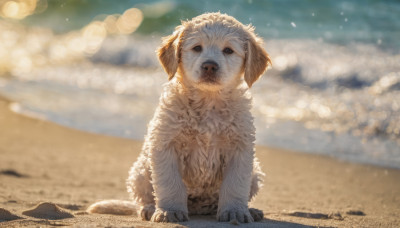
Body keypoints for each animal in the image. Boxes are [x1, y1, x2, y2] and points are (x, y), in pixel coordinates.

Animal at [87, 11, 272, 224]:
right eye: (197, 48)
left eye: (228, 50)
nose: (209, 66)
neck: (208, 101)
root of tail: (198, 208)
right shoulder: (166, 145)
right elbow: (170, 183)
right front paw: (170, 211)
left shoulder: (240, 148)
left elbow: (235, 184)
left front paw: (235, 211)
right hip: (140, 172)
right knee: (144, 198)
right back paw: (149, 208)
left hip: (255, 173)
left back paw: (251, 210)